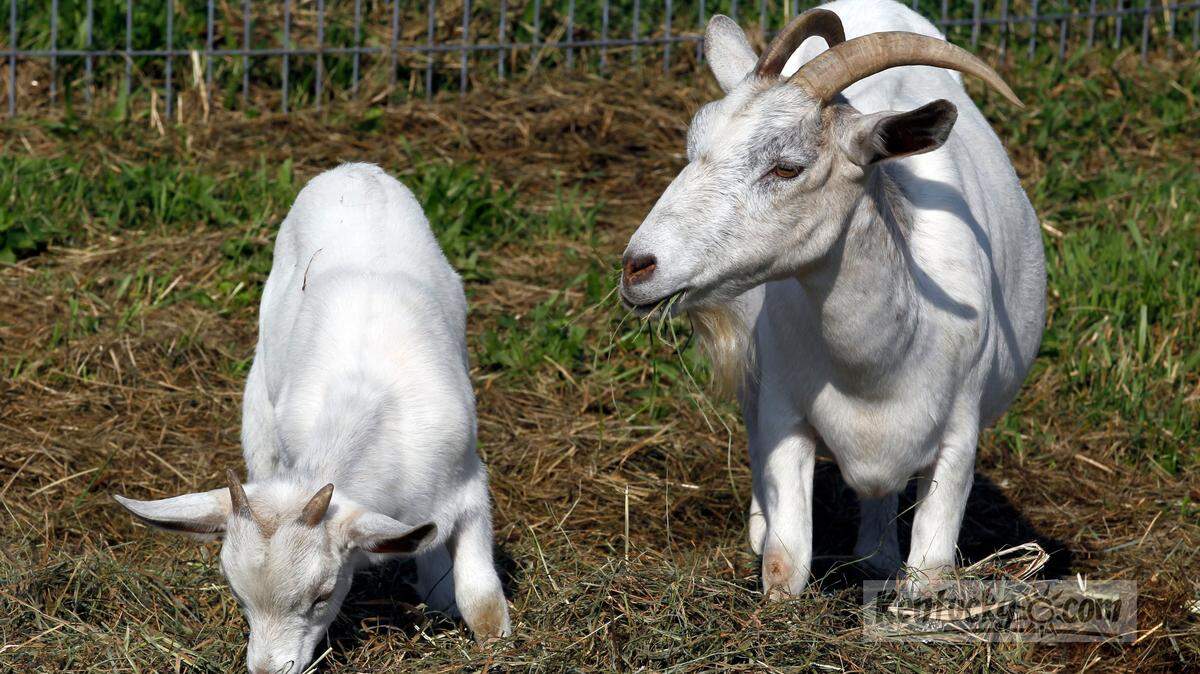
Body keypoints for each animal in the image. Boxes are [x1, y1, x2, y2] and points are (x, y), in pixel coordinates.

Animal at [114, 163, 510, 672]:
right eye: (238, 597)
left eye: (322, 596)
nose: (268, 670)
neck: (364, 406)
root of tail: (354, 170)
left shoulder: (469, 483)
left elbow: (481, 600)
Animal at [619, 0, 1045, 597]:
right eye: (692, 147)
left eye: (787, 167)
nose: (638, 266)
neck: (876, 371)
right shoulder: (783, 411)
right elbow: (786, 562)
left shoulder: (960, 433)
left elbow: (929, 574)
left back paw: (877, 554)